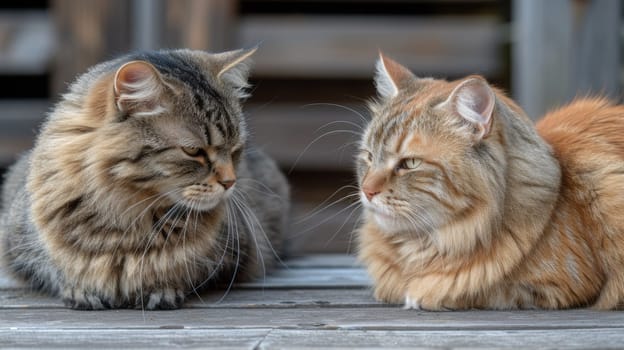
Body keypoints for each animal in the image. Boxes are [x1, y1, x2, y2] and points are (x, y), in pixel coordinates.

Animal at [0, 48, 288, 308]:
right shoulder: (18, 250)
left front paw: (160, 288)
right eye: (193, 151)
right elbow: (58, 271)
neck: (126, 216)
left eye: (236, 149)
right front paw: (81, 289)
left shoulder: (236, 255)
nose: (230, 182)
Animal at [358, 52, 624, 308]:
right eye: (369, 157)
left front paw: (424, 293)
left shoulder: (559, 287)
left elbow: (478, 289)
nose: (366, 191)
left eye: (410, 163)